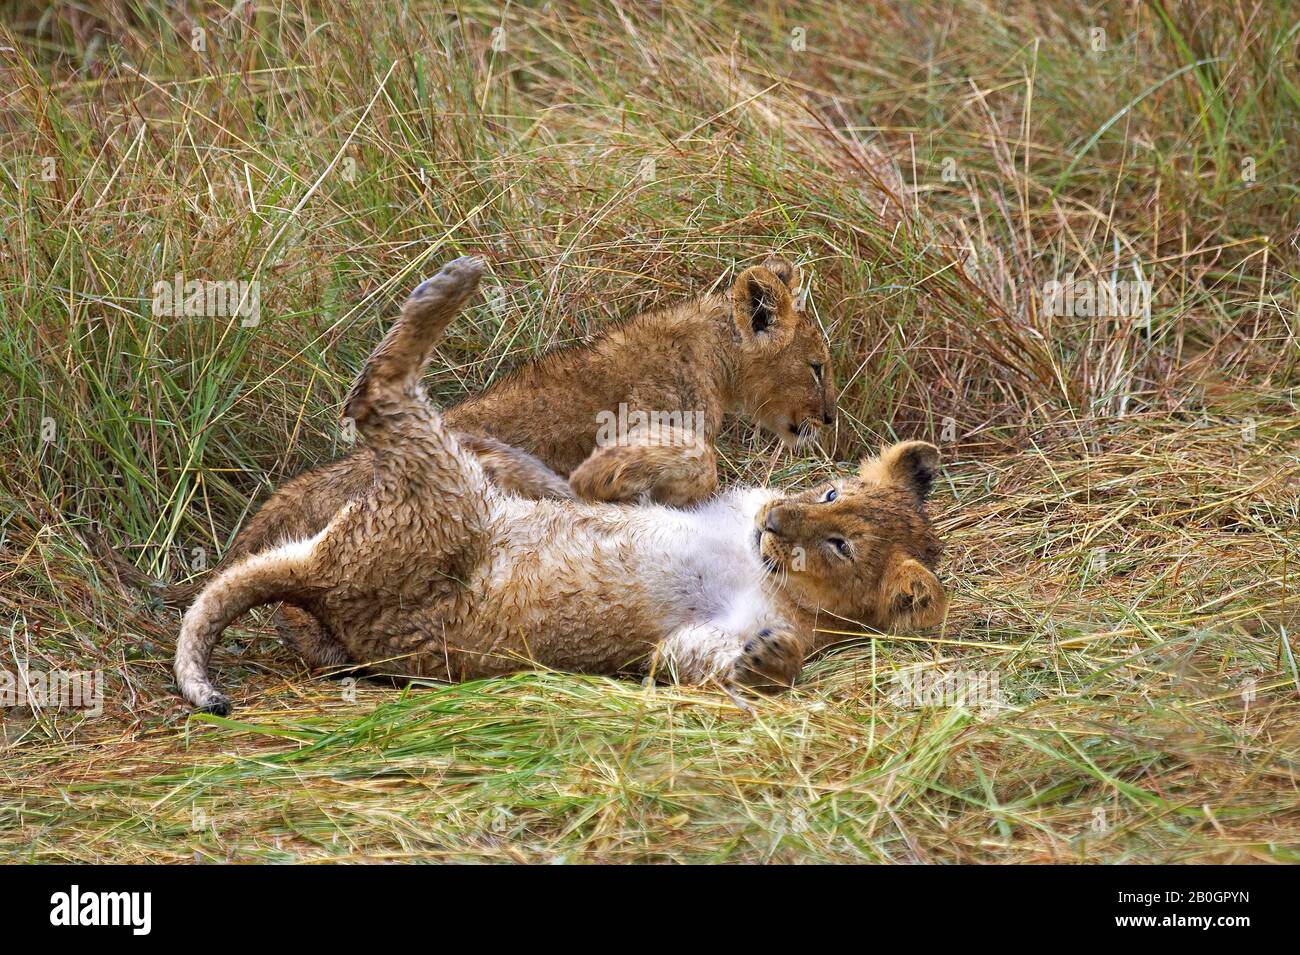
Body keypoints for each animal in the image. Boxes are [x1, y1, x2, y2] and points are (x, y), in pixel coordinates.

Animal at [175, 257, 945, 715]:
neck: (700, 350)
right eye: (815, 365)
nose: (829, 419)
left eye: (841, 541)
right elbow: (690, 460)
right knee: (378, 395)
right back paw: (450, 286)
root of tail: (312, 578)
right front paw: (607, 472)